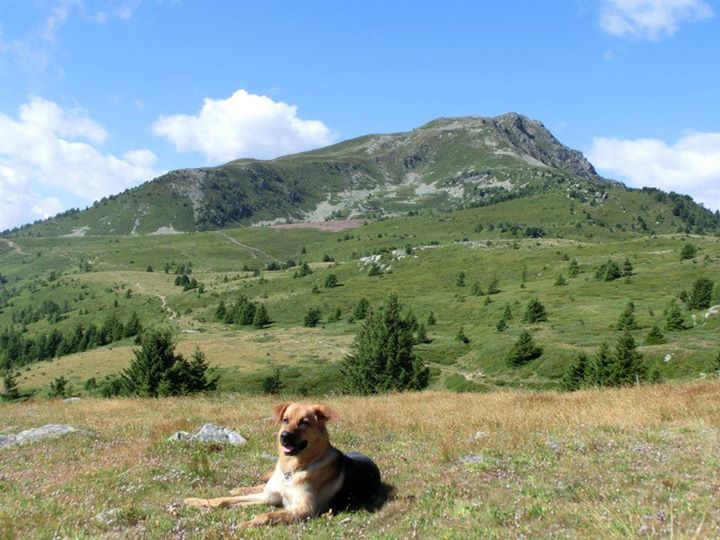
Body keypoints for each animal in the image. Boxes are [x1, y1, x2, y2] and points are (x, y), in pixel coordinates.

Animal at [184, 402, 382, 524]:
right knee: (260, 485)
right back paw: (239, 488)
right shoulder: (269, 496)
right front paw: (196, 501)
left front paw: (245, 524)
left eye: (304, 422)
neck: (293, 470)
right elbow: (222, 500)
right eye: (286, 420)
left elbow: (266, 515)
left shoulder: (304, 509)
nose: (284, 437)